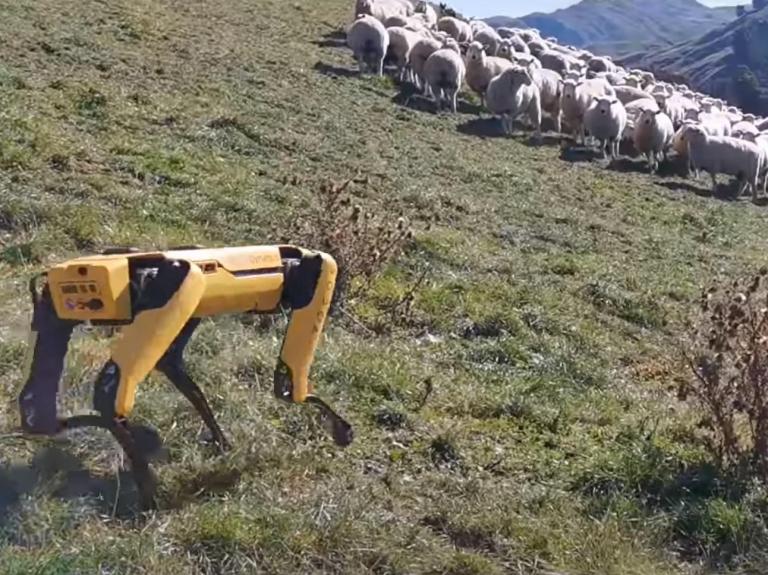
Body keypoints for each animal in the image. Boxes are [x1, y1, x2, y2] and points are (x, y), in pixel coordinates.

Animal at [18, 243, 352, 508]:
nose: (345, 432)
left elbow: (177, 371)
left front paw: (222, 442)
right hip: (176, 290)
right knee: (110, 394)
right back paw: (148, 491)